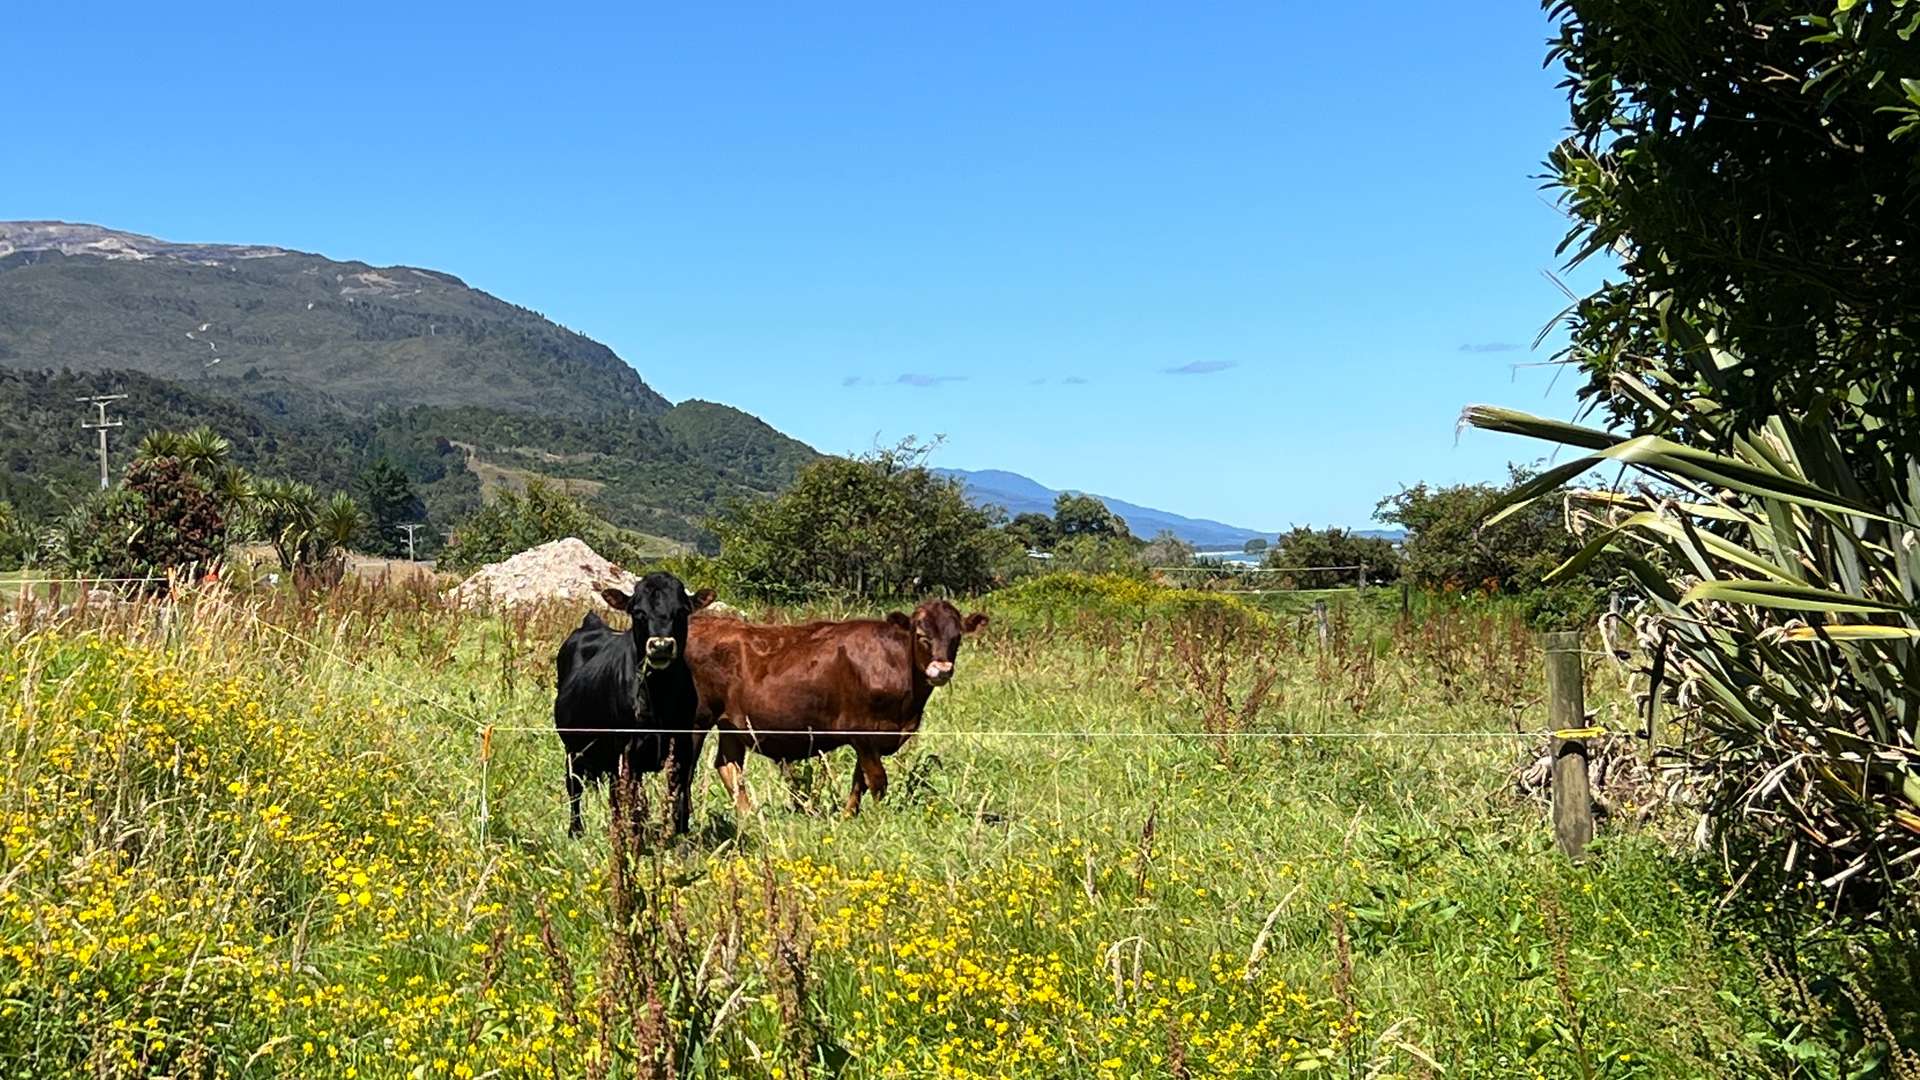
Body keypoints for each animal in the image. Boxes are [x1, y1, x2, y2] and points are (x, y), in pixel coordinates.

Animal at [552, 572, 718, 834]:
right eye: (638, 612)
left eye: (682, 611)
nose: (661, 646)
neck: (659, 695)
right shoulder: (627, 753)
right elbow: (630, 807)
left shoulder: (683, 748)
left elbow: (680, 801)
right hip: (573, 748)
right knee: (574, 787)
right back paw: (576, 830)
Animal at [691, 591, 990, 810]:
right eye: (921, 635)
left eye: (957, 637)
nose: (942, 669)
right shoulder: (861, 730)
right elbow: (877, 781)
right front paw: (879, 819)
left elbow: (861, 780)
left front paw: (850, 816)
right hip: (696, 721)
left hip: (731, 723)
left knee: (729, 766)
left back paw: (749, 817)